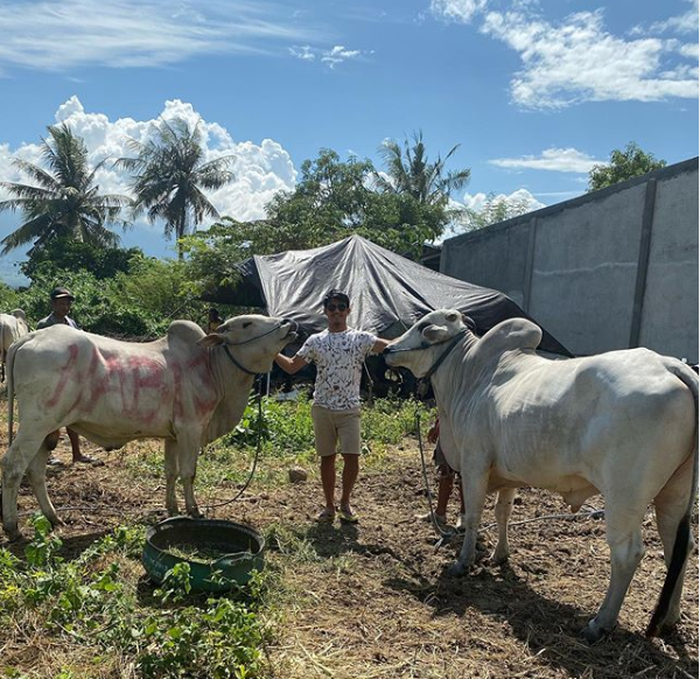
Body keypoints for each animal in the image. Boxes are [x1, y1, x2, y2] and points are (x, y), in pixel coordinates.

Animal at [0, 316, 296, 544]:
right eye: (247, 323)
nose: (289, 323)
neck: (211, 366)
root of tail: (28, 338)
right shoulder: (191, 429)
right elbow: (188, 473)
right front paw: (194, 511)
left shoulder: (173, 435)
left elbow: (171, 473)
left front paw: (172, 509)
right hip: (35, 424)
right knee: (13, 467)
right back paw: (13, 527)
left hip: (46, 429)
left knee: (35, 471)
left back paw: (54, 518)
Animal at [386, 312, 696, 644]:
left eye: (423, 327)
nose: (388, 348)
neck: (469, 373)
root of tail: (668, 365)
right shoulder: (506, 475)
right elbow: (503, 513)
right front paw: (499, 556)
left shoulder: (474, 464)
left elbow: (473, 516)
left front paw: (463, 562)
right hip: (674, 494)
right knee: (678, 546)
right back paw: (670, 619)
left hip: (625, 497)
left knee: (628, 554)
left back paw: (600, 623)